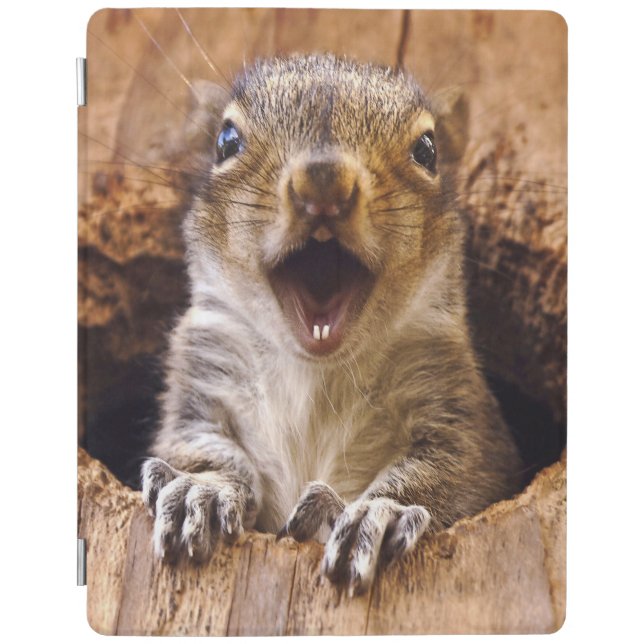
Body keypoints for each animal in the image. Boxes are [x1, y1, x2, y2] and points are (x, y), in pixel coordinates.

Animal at [141, 54, 522, 596]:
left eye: (428, 150)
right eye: (226, 141)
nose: (323, 180)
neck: (315, 370)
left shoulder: (456, 405)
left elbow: (454, 469)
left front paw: (380, 512)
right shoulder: (201, 376)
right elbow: (197, 445)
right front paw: (201, 489)